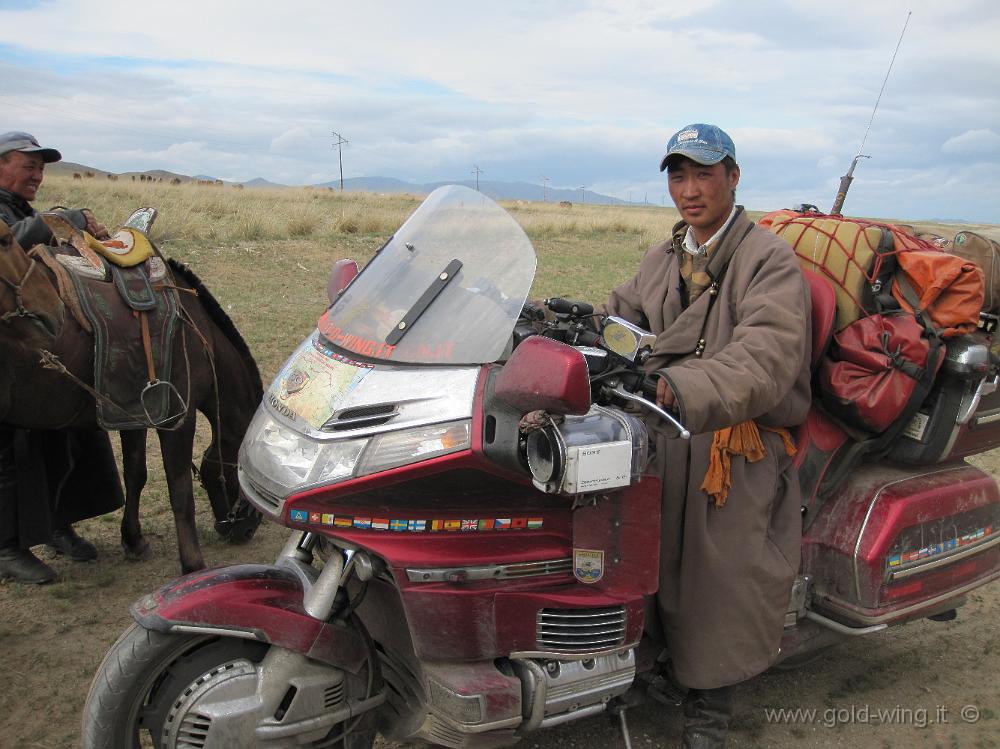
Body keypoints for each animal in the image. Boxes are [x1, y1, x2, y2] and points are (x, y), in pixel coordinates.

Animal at [0, 219, 262, 568]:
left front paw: (134, 540)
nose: (246, 529)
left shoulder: (133, 410)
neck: (200, 329)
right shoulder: (177, 417)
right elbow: (180, 490)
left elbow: (135, 473)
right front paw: (192, 564)